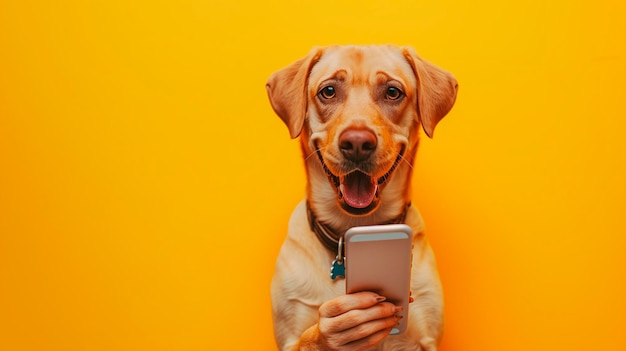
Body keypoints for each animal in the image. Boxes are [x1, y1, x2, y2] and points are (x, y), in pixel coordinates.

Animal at [266, 45, 456, 350]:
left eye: (393, 92)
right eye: (328, 91)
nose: (357, 143)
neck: (353, 227)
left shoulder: (426, 337)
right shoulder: (290, 335)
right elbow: (310, 335)